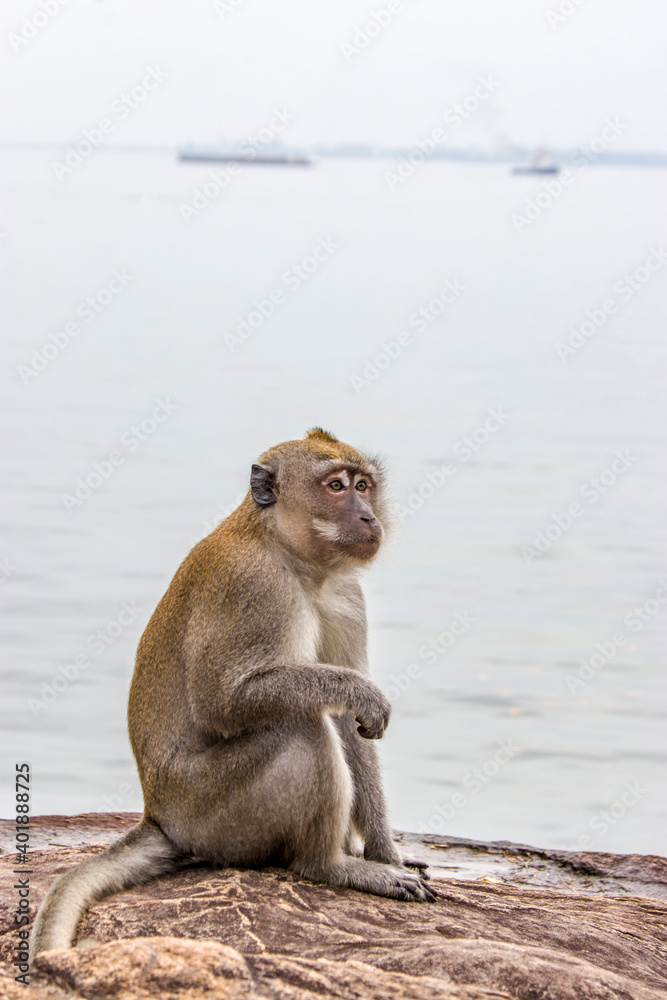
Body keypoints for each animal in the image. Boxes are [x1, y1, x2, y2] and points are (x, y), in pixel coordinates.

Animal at [31, 428, 435, 959]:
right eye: (335, 486)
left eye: (363, 485)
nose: (368, 516)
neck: (289, 553)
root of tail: (159, 816)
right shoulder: (253, 586)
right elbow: (224, 701)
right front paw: (361, 693)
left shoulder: (348, 597)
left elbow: (352, 729)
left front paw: (388, 855)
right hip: (215, 816)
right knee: (300, 729)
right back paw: (328, 865)